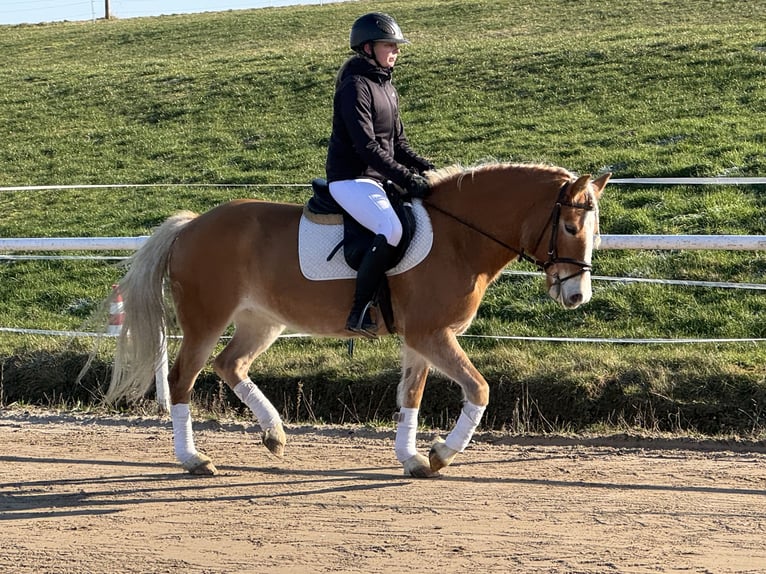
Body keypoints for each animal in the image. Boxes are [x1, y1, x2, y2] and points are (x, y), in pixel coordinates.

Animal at [106, 163, 612, 482]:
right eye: (570, 227)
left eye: (594, 231)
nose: (577, 296)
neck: (459, 238)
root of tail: (191, 226)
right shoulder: (431, 334)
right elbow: (480, 388)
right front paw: (440, 454)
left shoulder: (421, 339)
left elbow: (410, 396)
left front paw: (412, 459)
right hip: (207, 320)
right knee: (181, 378)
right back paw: (194, 459)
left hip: (261, 321)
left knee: (230, 365)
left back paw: (274, 433)